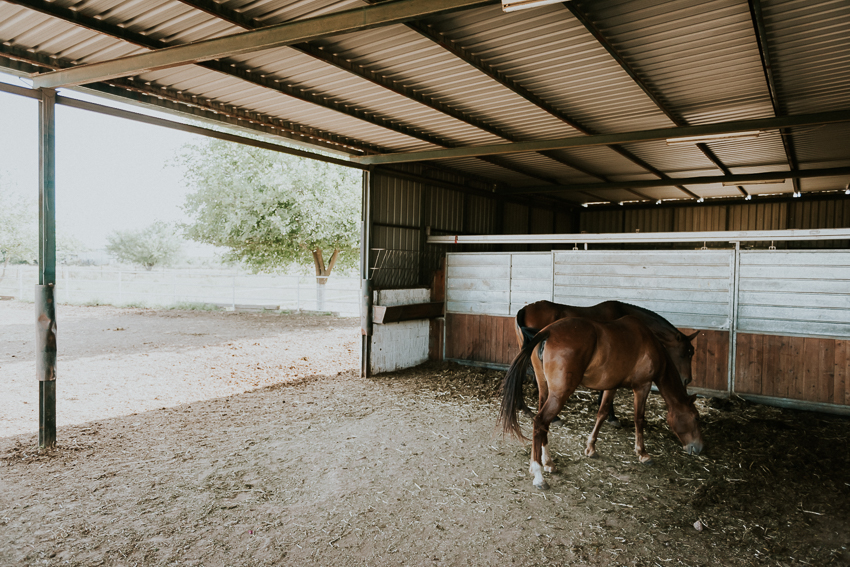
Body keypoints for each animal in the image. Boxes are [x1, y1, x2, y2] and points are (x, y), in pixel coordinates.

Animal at [496, 318, 704, 490]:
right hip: (559, 394)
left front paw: (591, 448)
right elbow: (639, 419)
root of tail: (549, 331)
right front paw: (643, 453)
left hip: (545, 388)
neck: (648, 343)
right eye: (696, 418)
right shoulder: (642, 386)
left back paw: (548, 463)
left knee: (542, 424)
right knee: (540, 421)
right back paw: (538, 474)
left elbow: (602, 413)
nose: (699, 447)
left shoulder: (611, 386)